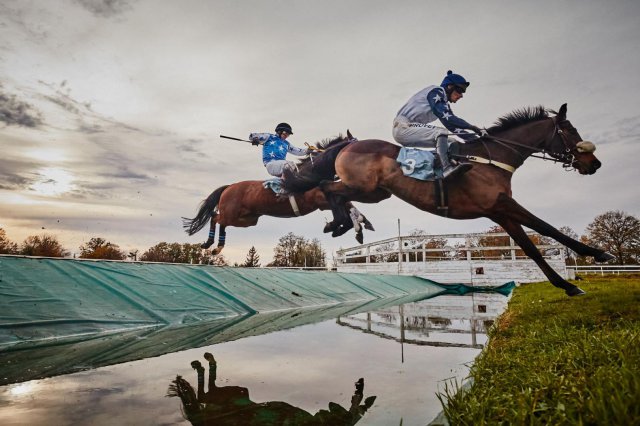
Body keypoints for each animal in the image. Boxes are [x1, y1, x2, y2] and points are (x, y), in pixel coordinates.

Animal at [284, 104, 616, 296]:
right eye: (570, 131)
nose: (594, 164)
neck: (493, 158)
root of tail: (346, 145)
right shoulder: (502, 205)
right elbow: (546, 228)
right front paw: (597, 255)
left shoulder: (499, 212)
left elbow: (530, 247)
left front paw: (567, 283)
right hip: (364, 187)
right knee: (329, 187)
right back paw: (342, 224)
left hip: (376, 192)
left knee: (330, 188)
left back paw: (340, 224)